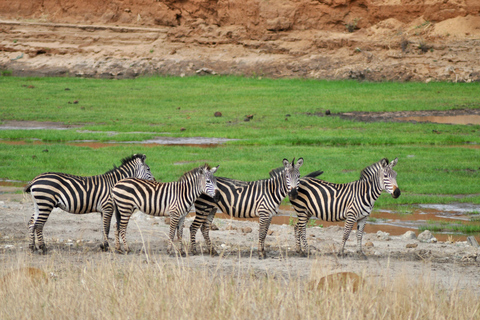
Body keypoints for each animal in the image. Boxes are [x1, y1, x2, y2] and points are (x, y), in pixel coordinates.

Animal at [23, 154, 154, 254]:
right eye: (148, 169)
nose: (154, 181)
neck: (114, 184)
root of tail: (35, 179)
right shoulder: (108, 207)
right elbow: (106, 228)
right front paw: (105, 246)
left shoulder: (103, 210)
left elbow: (102, 228)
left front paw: (102, 246)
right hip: (46, 203)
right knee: (39, 225)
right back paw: (43, 248)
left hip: (38, 204)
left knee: (31, 223)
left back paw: (32, 247)